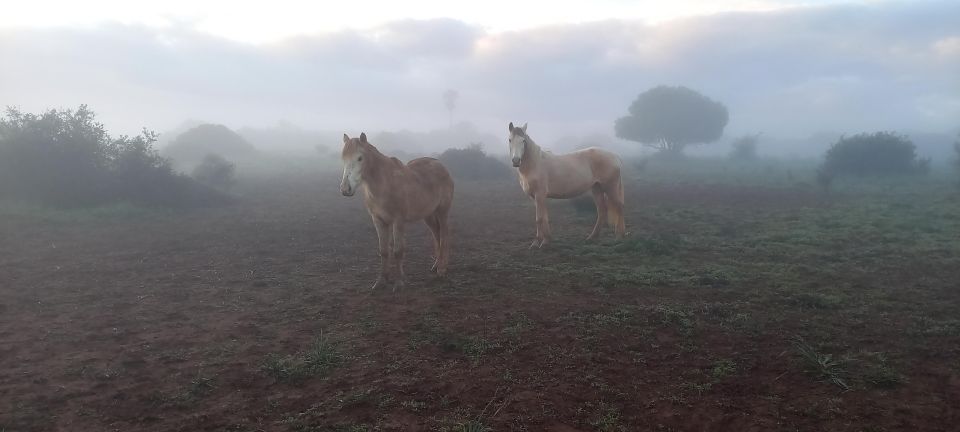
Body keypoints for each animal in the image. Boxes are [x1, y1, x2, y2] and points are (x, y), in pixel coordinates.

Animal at [340, 133, 456, 288]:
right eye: (343, 158)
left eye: (360, 158)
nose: (345, 189)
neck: (384, 184)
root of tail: (441, 165)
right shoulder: (378, 220)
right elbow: (383, 251)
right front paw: (381, 280)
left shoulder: (398, 221)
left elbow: (398, 251)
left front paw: (399, 282)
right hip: (428, 215)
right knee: (436, 235)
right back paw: (436, 265)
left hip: (442, 212)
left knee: (444, 235)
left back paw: (442, 270)